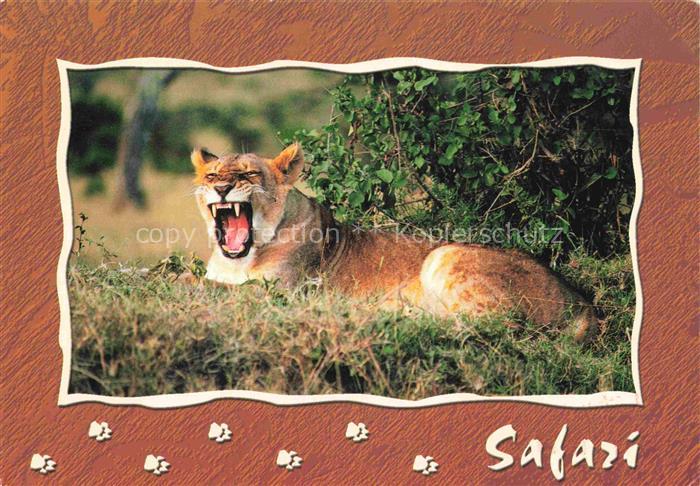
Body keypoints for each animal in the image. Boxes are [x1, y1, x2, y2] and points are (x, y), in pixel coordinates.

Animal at [191, 143, 597, 342]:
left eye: (248, 174)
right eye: (212, 175)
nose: (221, 187)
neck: (238, 258)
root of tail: (582, 305)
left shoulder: (279, 293)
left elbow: (209, 287)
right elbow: (209, 282)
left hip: (446, 255)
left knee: (493, 324)